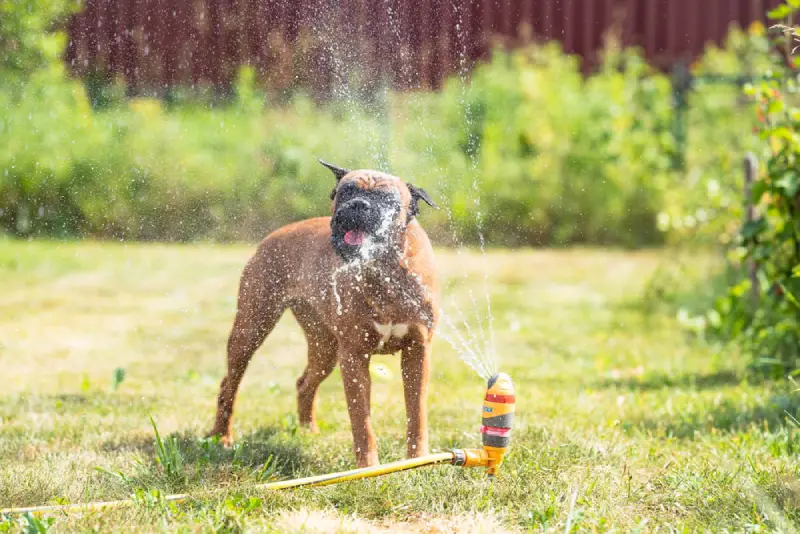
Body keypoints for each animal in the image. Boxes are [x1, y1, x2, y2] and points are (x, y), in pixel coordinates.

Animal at [206, 160, 440, 468]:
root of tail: (275, 234)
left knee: (304, 383)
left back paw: (308, 431)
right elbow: (361, 420)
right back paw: (221, 436)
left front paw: (417, 459)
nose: (358, 204)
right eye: (346, 191)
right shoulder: (354, 356)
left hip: (324, 348)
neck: (383, 270)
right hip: (251, 328)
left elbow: (417, 412)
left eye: (387, 198)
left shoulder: (417, 351)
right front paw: (368, 467)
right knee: (229, 384)